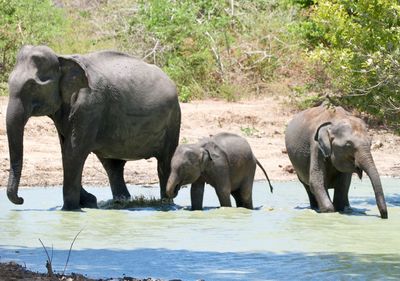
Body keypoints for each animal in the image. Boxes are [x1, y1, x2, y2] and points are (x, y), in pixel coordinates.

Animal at [5, 44, 181, 209]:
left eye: (32, 86)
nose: (21, 199)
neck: (62, 58)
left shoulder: (90, 104)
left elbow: (73, 151)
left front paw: (69, 210)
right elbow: (66, 151)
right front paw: (88, 201)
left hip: (173, 119)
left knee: (164, 162)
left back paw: (166, 204)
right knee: (112, 166)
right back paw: (121, 201)